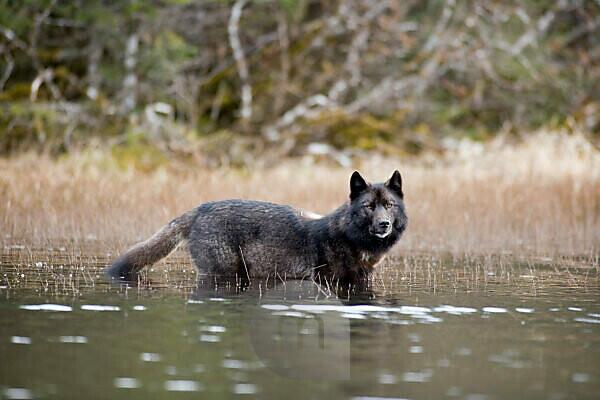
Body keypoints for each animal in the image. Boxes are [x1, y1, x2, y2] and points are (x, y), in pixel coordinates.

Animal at [106, 170, 408, 282]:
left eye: (389, 205)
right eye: (369, 206)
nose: (383, 224)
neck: (348, 236)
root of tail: (200, 208)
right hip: (223, 273)